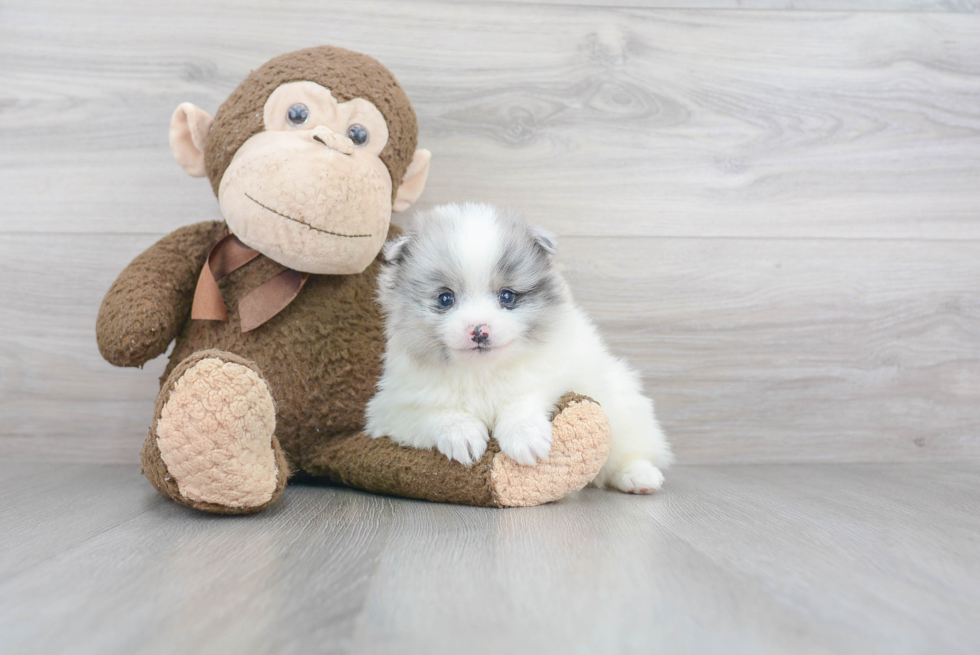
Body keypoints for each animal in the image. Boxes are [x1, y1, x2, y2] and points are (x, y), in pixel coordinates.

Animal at [368, 202, 672, 494]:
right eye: (445, 299)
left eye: (507, 296)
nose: (479, 330)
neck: (482, 372)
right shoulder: (390, 410)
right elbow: (434, 412)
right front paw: (462, 435)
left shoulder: (554, 371)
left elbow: (522, 396)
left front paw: (524, 437)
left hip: (623, 407)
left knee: (627, 452)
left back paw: (639, 476)